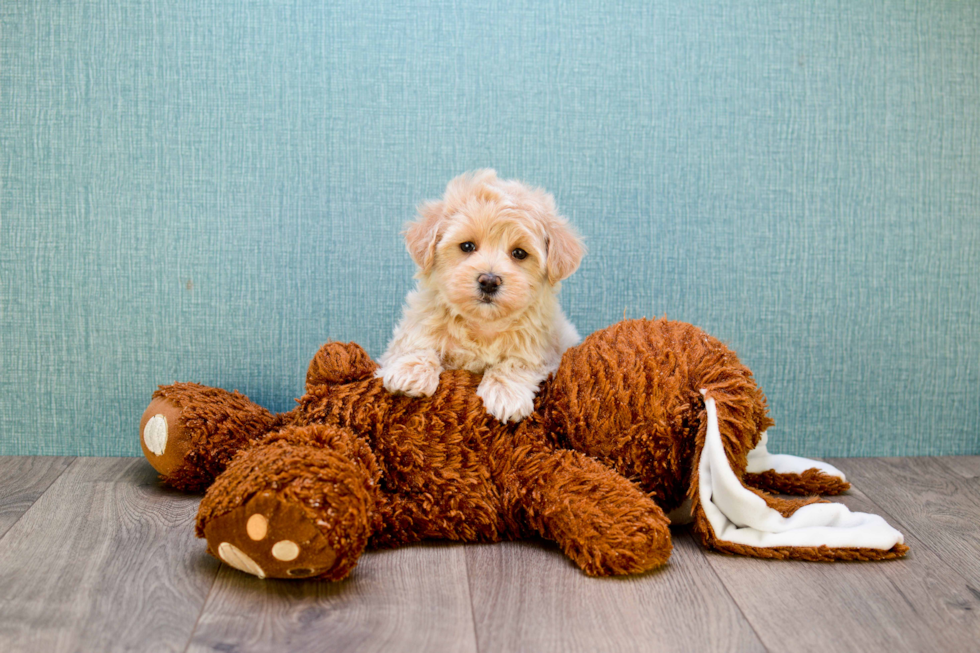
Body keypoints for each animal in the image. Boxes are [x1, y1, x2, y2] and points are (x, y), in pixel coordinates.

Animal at [378, 168, 584, 422]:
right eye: (467, 246)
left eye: (519, 253)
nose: (489, 281)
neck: (483, 325)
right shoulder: (415, 325)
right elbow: (417, 344)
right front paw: (410, 372)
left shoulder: (544, 351)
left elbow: (516, 364)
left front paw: (506, 395)